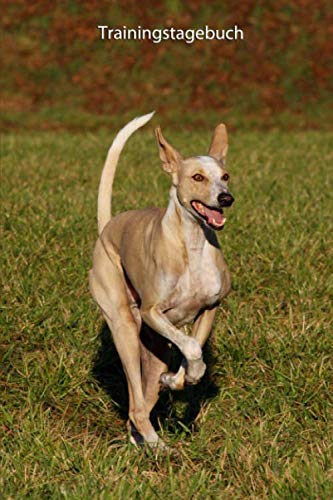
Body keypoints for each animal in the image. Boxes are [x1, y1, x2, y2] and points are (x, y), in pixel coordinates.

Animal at [89, 112, 233, 446]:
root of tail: (108, 228)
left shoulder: (210, 309)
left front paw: (177, 380)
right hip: (125, 327)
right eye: (197, 177)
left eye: (226, 175)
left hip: (154, 350)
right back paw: (157, 445)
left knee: (140, 400)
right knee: (137, 405)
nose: (226, 198)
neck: (192, 244)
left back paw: (144, 436)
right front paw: (183, 375)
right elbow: (191, 347)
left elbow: (193, 354)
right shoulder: (151, 311)